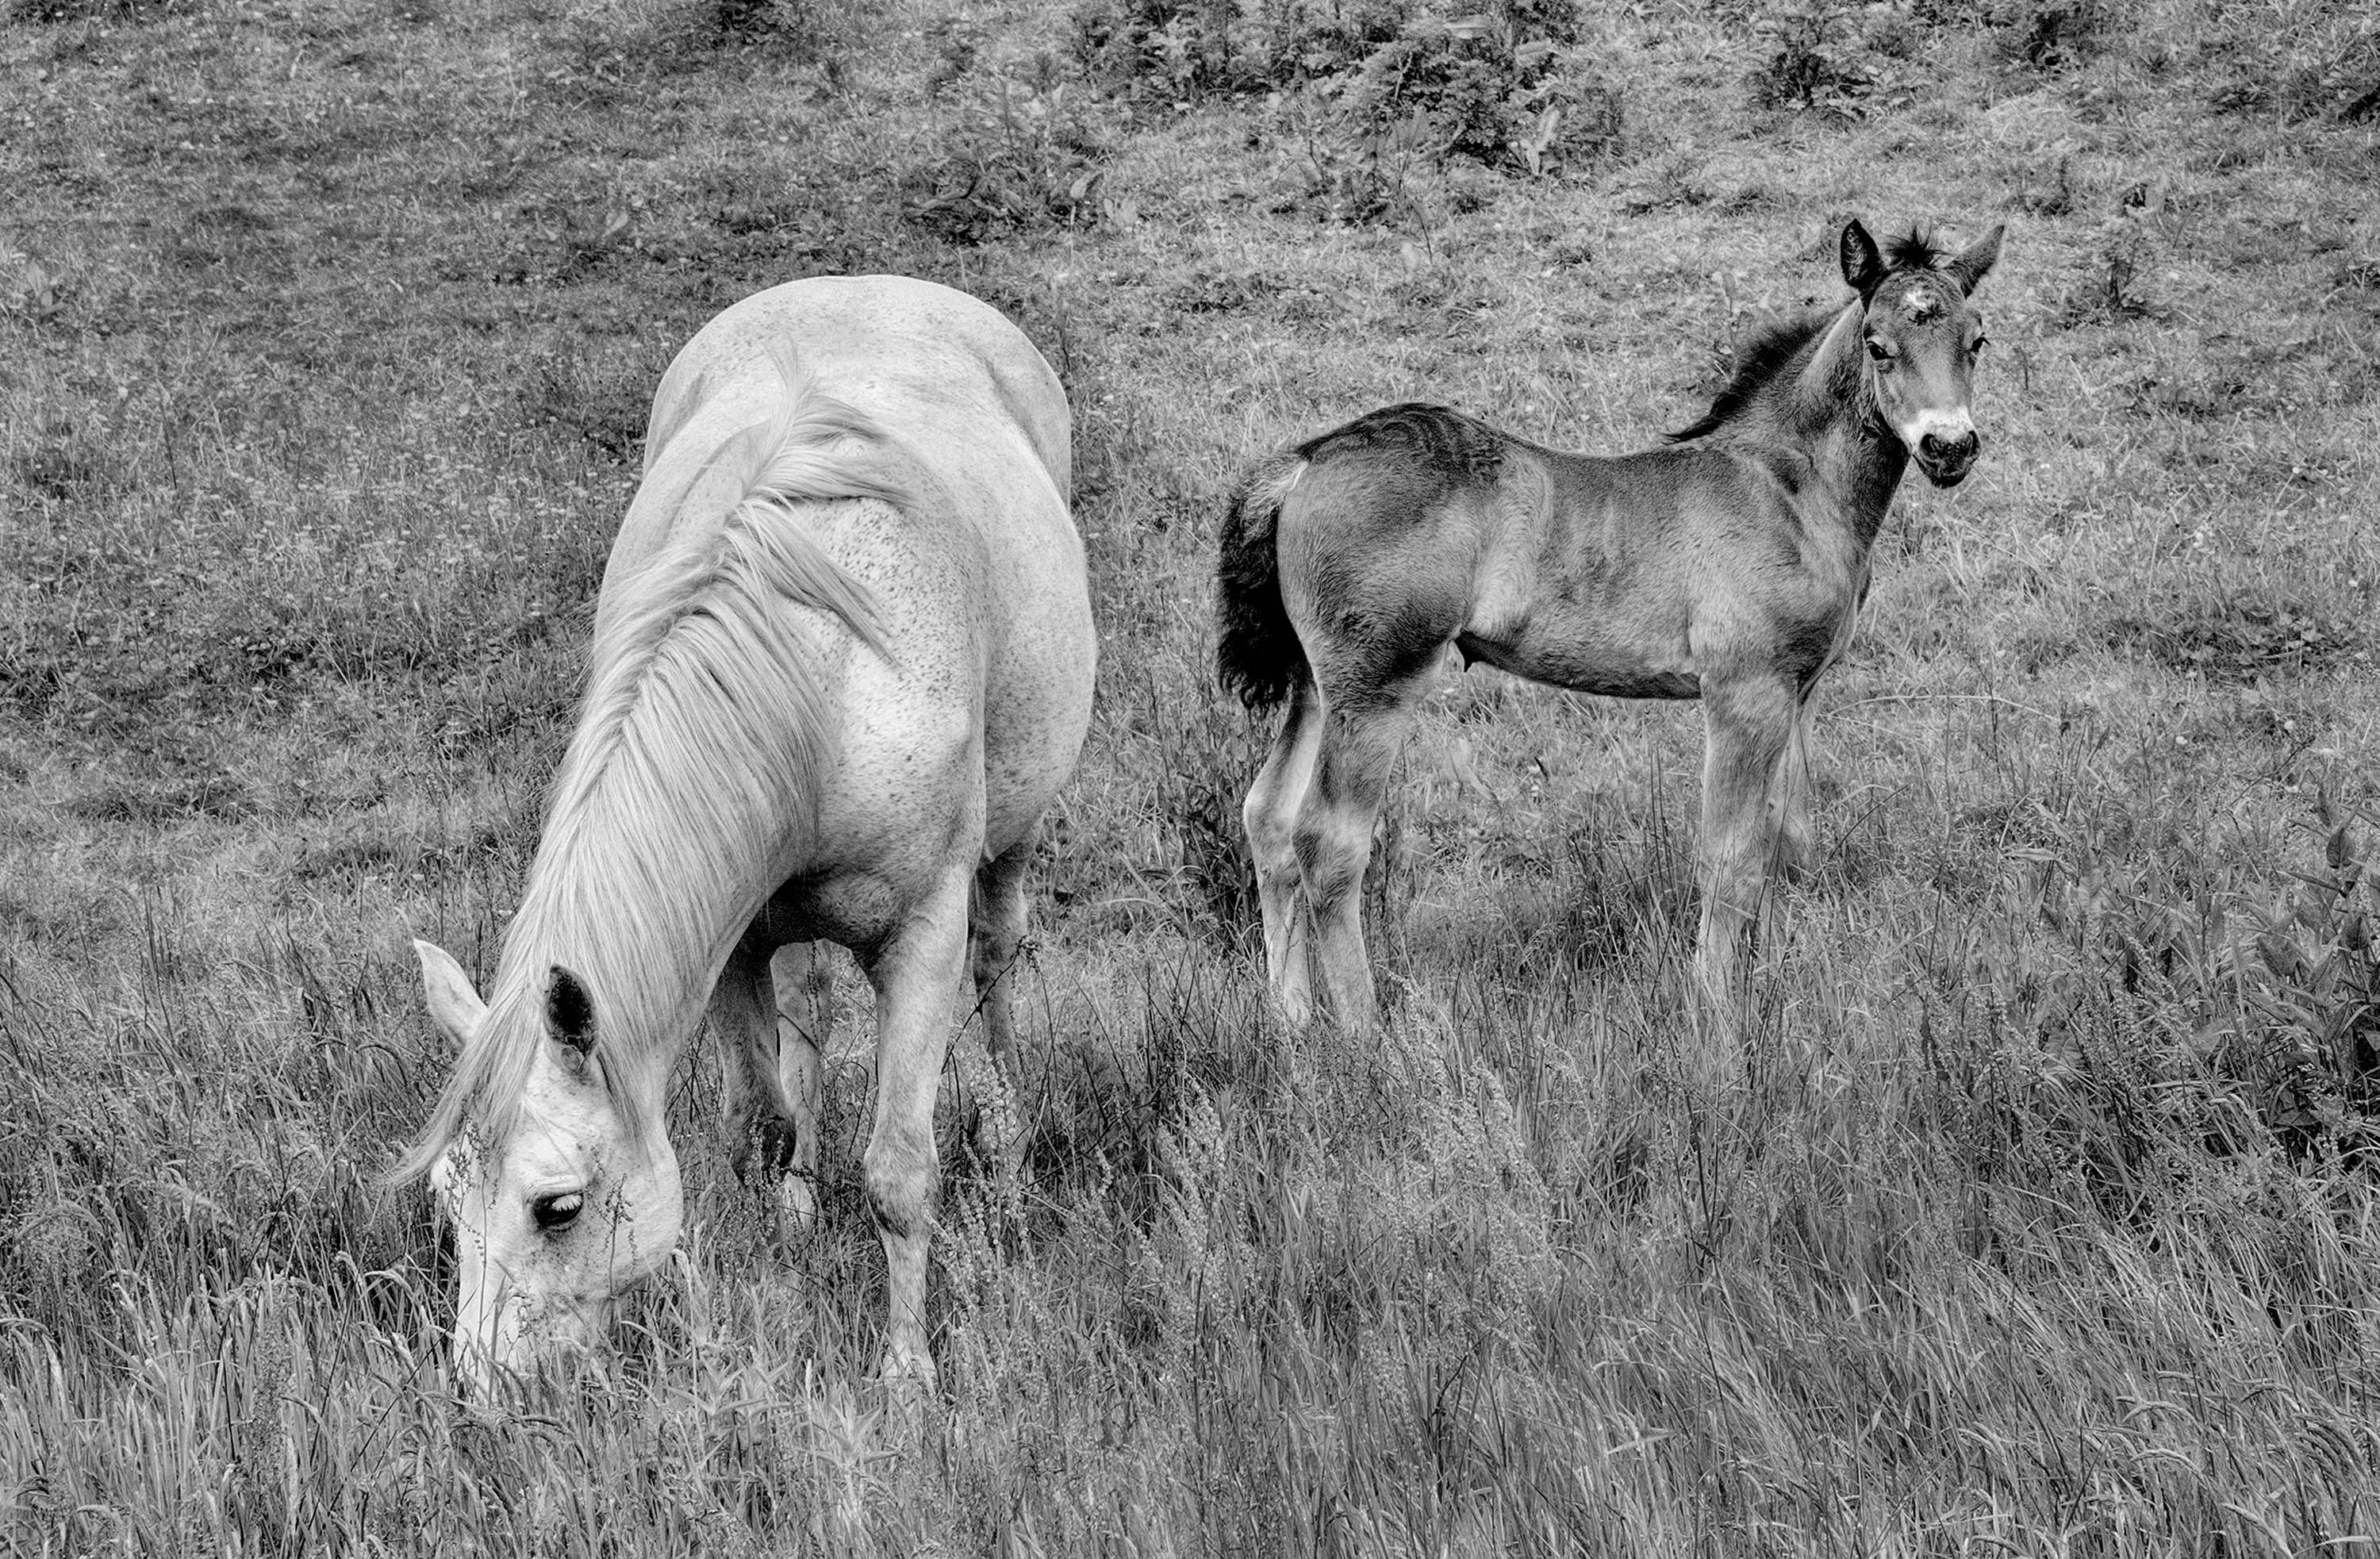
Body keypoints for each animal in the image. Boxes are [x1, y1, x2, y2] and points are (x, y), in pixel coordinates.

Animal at [401, 275, 1097, 1394]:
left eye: (558, 1207)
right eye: (444, 1200)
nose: (485, 1395)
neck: (821, 670)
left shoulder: (925, 933)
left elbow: (900, 1169)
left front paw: (908, 1374)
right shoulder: (732, 949)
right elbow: (757, 1132)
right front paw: (762, 1296)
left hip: (1011, 849)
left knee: (998, 966)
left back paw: (1006, 1169)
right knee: (811, 1012)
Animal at [1215, 218, 2002, 1035]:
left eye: (1977, 339)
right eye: (1878, 344)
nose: (1950, 446)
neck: (1785, 490)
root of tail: (1304, 462)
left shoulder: (1800, 691)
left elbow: (1787, 844)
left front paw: (1775, 985)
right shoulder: (1744, 692)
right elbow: (1730, 856)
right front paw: (1715, 1015)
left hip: (1318, 686)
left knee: (1268, 818)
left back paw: (1293, 1022)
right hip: (1377, 685)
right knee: (1328, 841)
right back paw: (1364, 1035)